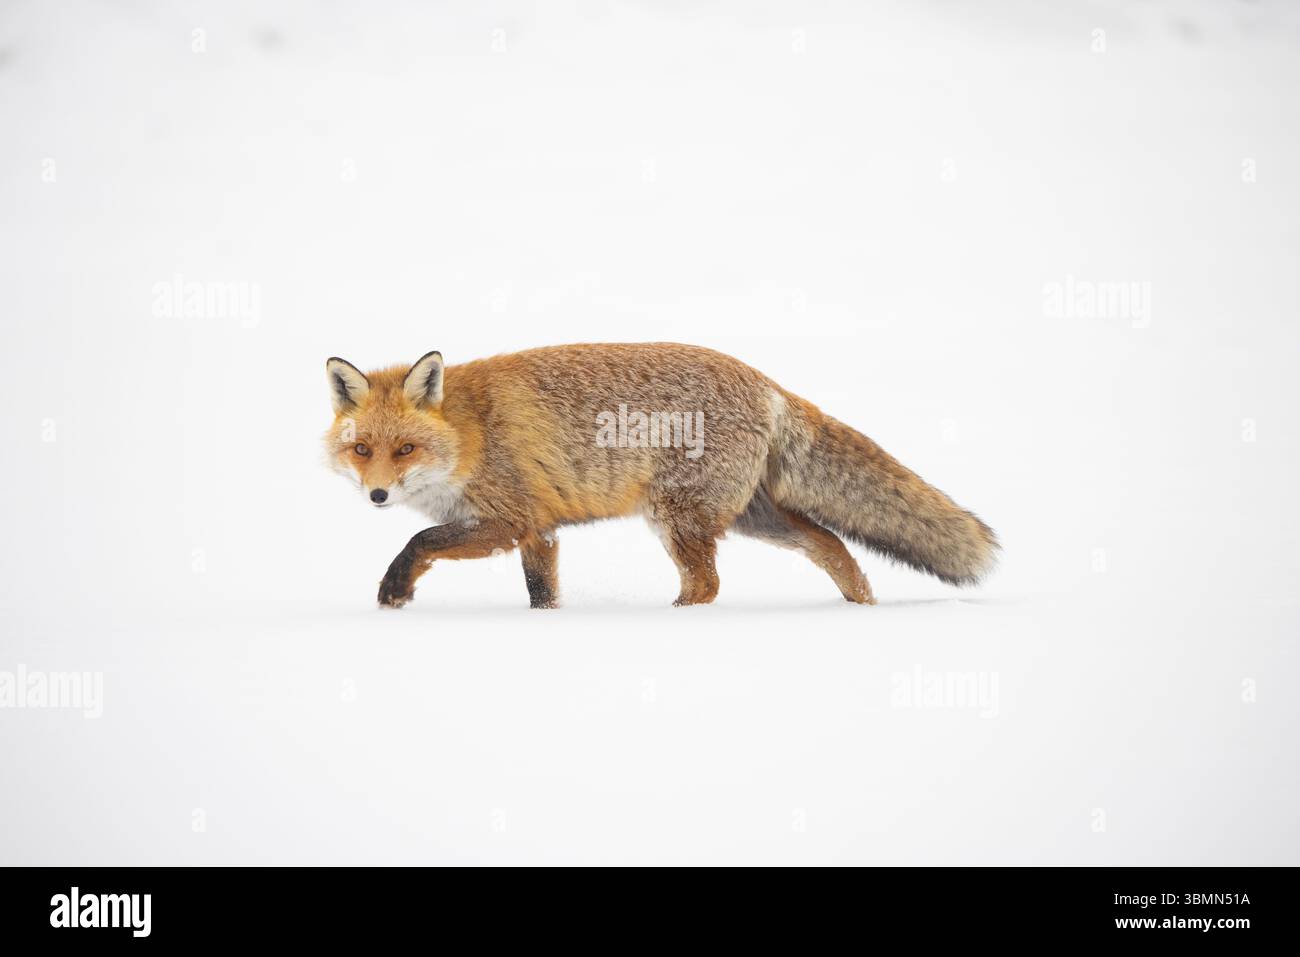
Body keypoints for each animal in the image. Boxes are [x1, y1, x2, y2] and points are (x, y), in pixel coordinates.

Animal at [323, 343, 997, 609]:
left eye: (406, 448)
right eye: (363, 449)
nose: (377, 494)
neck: (470, 434)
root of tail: (767, 382)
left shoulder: (510, 518)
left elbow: (419, 541)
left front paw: (393, 590)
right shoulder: (541, 530)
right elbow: (543, 594)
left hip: (678, 517)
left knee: (707, 585)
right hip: (749, 517)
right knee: (828, 542)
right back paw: (862, 605)